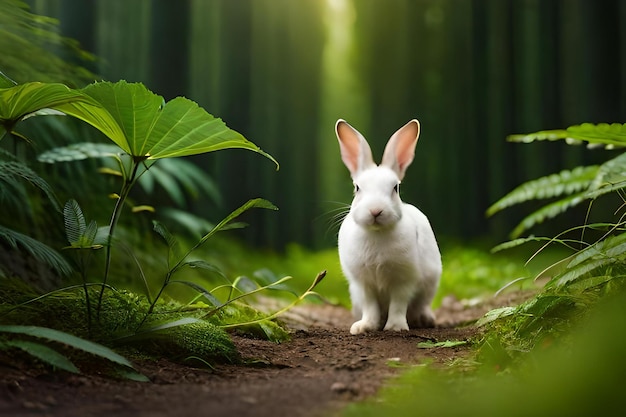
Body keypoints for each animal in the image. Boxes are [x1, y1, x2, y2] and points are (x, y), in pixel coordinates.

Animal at [336, 118, 438, 334]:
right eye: (357, 187)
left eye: (395, 188)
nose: (376, 210)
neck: (376, 233)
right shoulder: (364, 284)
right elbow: (370, 306)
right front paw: (365, 327)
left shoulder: (404, 280)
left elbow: (398, 304)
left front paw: (396, 327)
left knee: (420, 305)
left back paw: (424, 320)